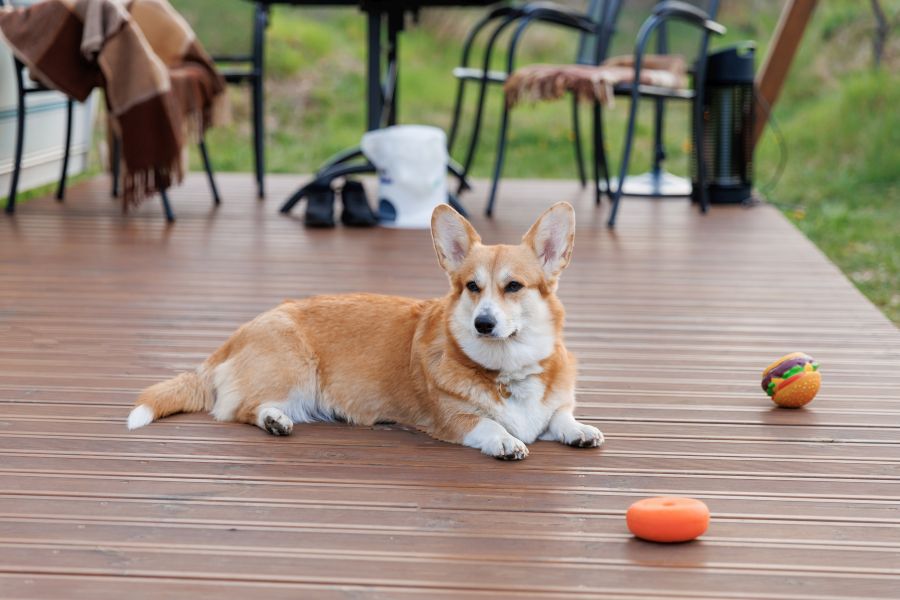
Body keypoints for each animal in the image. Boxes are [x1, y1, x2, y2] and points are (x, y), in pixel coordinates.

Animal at [126, 202, 600, 460]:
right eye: (472, 287)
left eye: (514, 286)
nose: (483, 323)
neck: (508, 366)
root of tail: (234, 337)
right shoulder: (455, 420)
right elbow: (488, 425)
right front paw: (506, 441)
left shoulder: (553, 406)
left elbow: (561, 416)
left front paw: (579, 431)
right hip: (295, 371)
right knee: (238, 408)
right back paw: (275, 420)